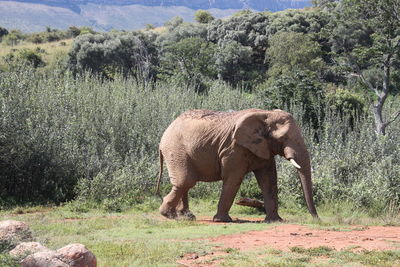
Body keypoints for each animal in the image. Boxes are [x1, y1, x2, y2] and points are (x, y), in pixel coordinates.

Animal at [156, 109, 318, 224]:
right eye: (284, 138)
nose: (317, 219)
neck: (266, 114)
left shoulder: (263, 147)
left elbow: (269, 180)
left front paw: (275, 221)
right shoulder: (234, 149)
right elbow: (234, 178)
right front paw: (222, 220)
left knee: (186, 182)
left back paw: (187, 217)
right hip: (176, 150)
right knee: (186, 181)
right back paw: (169, 215)